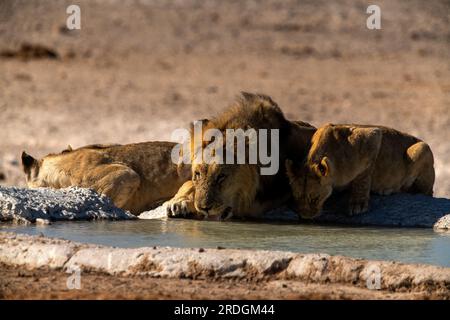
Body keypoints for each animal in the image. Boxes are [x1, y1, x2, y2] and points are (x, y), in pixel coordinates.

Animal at [284, 124, 436, 219]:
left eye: (315, 198)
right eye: (297, 196)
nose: (305, 216)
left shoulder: (371, 138)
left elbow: (363, 178)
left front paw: (358, 204)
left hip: (422, 148)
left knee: (423, 191)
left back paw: (387, 190)